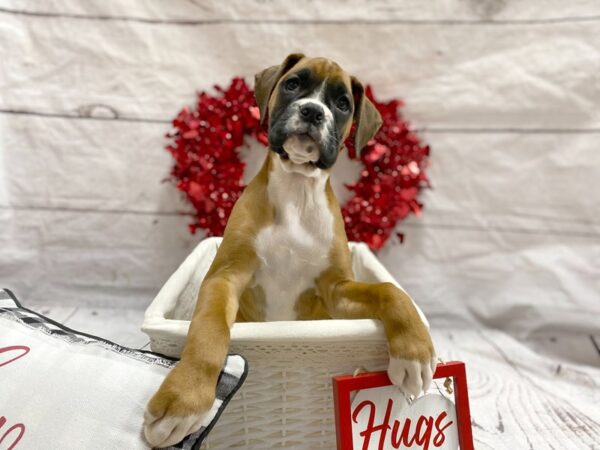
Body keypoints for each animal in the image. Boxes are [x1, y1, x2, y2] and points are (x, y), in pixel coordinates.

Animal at [145, 52, 436, 446]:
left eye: (342, 103)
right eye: (293, 83)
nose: (313, 111)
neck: (297, 189)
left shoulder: (336, 291)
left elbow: (390, 291)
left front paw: (414, 353)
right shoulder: (225, 277)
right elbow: (209, 330)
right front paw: (184, 398)